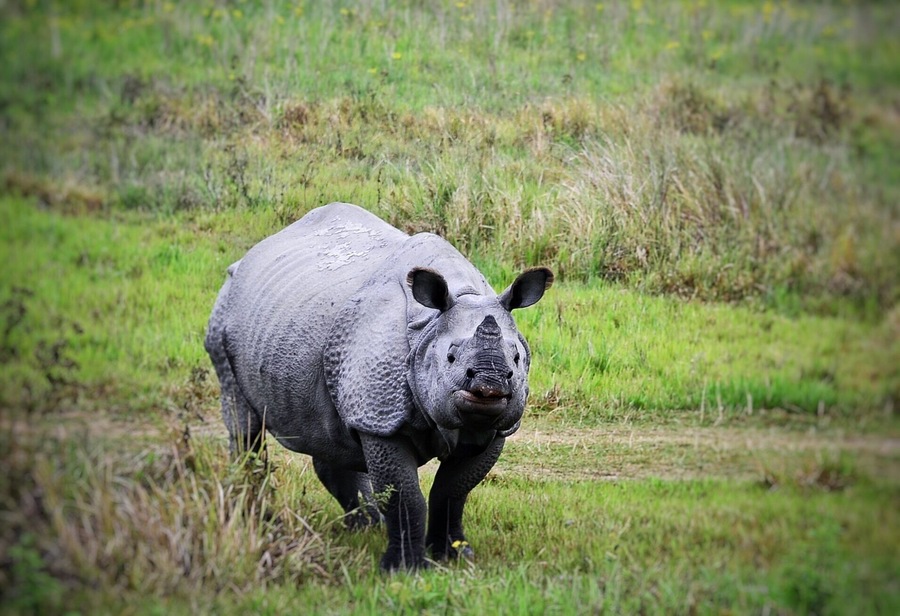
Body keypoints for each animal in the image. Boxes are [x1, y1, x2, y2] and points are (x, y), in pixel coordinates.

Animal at [205, 202, 552, 570]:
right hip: (224, 315)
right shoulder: (379, 418)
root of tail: (250, 255)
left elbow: (453, 491)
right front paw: (404, 569)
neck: (429, 327)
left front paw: (455, 556)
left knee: (327, 432)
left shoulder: (493, 428)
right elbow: (405, 495)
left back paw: (364, 526)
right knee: (244, 426)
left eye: (517, 358)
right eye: (451, 357)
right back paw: (254, 516)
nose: (489, 386)